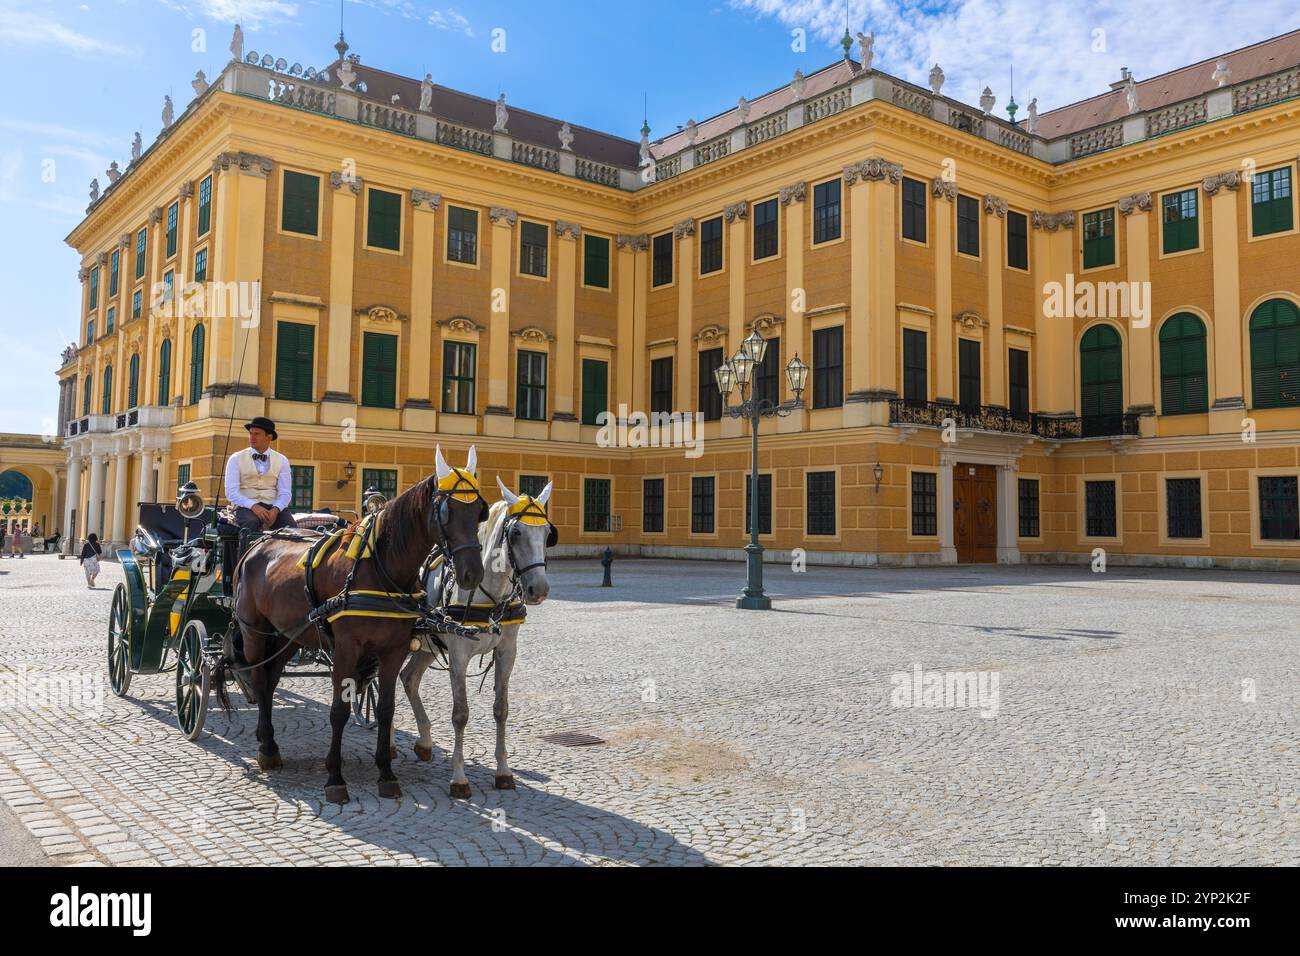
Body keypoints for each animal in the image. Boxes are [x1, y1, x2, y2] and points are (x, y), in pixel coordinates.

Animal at [228, 447, 488, 801]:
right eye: (446, 512)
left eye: (478, 511)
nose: (472, 573)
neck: (381, 570)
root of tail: (259, 543)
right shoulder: (346, 649)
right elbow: (339, 710)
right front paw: (335, 777)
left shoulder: (393, 650)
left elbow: (386, 710)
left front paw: (386, 773)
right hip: (255, 631)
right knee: (257, 677)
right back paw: (266, 746)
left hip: (289, 636)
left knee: (268, 682)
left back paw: (268, 742)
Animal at [400, 478, 553, 801]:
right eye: (516, 533)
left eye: (547, 533)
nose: (539, 589)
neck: (489, 595)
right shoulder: (458, 656)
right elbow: (460, 714)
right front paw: (459, 778)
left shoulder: (507, 652)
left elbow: (501, 709)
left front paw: (503, 771)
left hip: (429, 646)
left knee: (409, 678)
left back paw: (424, 742)